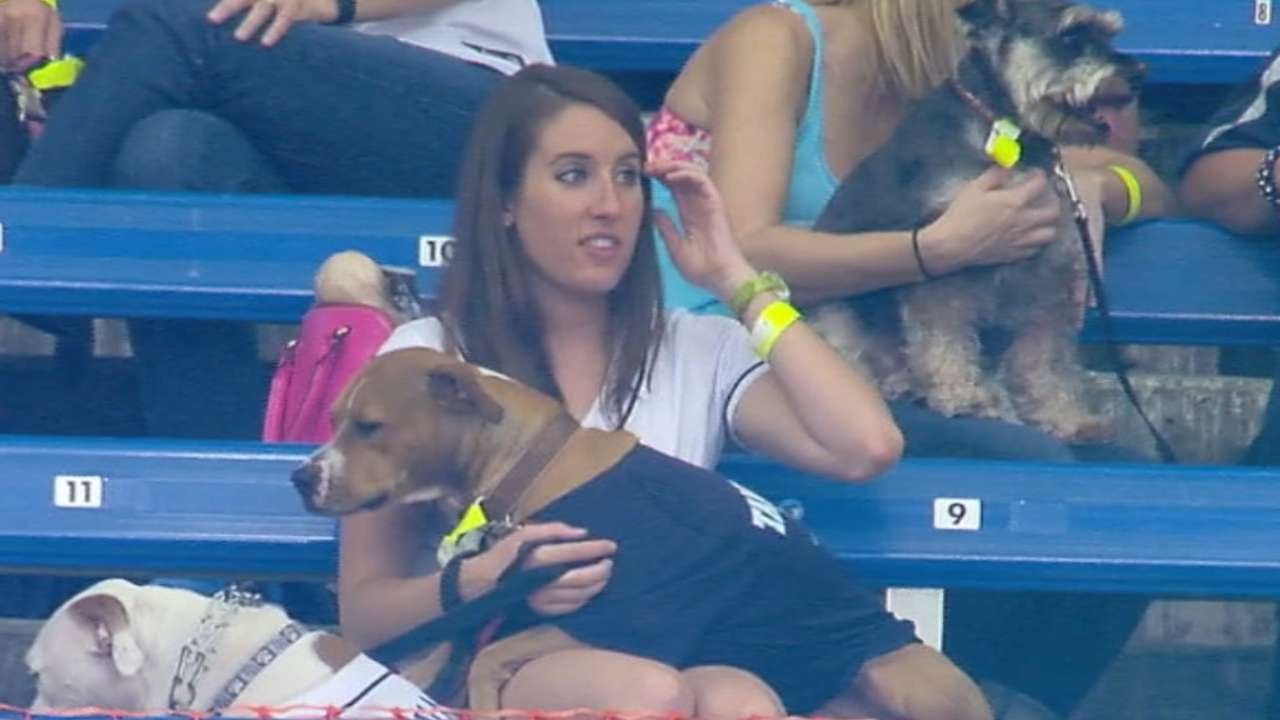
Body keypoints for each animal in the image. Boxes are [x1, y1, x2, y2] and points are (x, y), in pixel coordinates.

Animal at [808, 0, 1141, 443]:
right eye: (1071, 35)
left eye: (1110, 34)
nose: (1138, 75)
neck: (1007, 133)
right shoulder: (947, 267)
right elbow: (944, 340)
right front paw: (965, 397)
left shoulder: (1047, 275)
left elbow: (1044, 361)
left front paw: (1065, 416)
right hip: (834, 319)